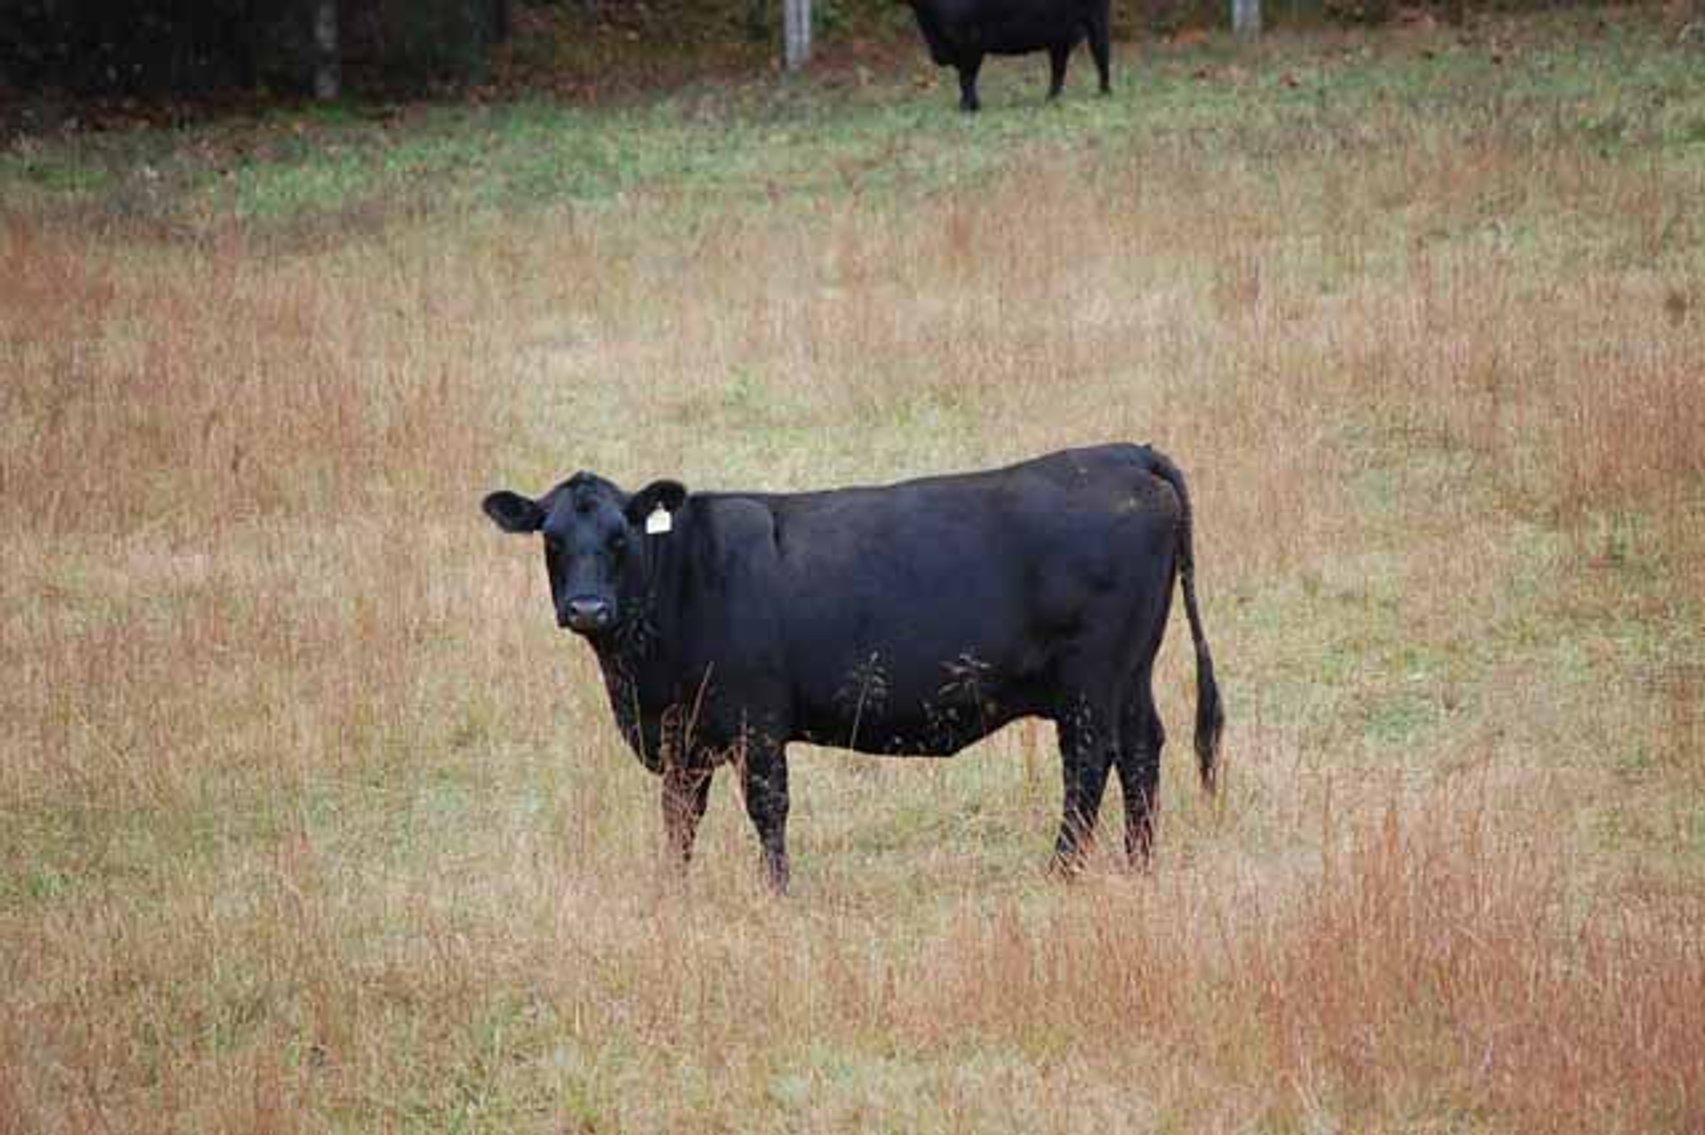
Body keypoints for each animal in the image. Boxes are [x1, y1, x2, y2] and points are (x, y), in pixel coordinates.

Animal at [482, 444, 1222, 893]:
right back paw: (1139, 863)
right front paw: (672, 886)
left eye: (620, 536)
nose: (587, 607)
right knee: (1142, 751)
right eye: (552, 539)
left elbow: (767, 805)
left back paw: (1062, 869)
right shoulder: (680, 733)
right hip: (1129, 675)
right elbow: (679, 813)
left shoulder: (755, 718)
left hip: (1089, 684)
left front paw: (776, 891)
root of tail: (1119, 455)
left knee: (1090, 764)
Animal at [900, 0, 1113, 112]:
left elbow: (966, 78)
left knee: (1102, 57)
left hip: (1097, 19)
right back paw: (1050, 99)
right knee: (1059, 70)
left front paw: (968, 107)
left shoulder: (972, 41)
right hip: (1059, 35)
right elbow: (966, 78)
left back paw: (1104, 94)